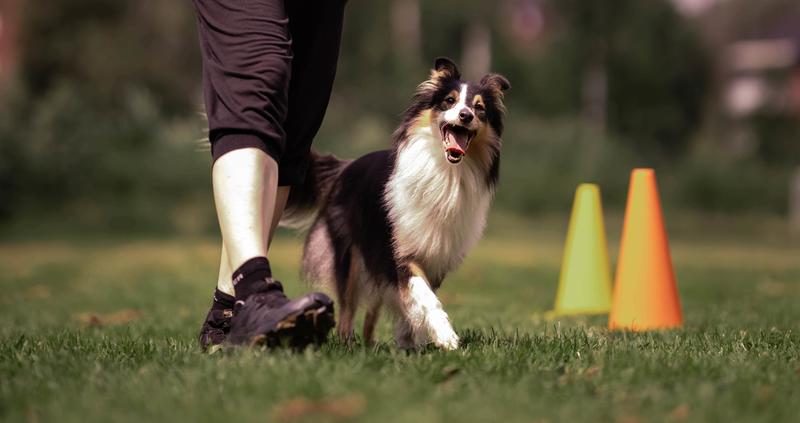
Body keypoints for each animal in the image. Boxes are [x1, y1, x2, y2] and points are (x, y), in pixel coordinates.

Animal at [284, 57, 510, 352]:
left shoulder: (436, 254)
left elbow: (415, 301)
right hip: (353, 255)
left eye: (479, 108)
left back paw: (372, 344)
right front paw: (446, 337)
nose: (465, 116)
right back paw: (347, 344)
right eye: (449, 101)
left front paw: (410, 342)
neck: (445, 172)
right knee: (348, 308)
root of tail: (346, 166)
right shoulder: (400, 252)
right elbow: (425, 297)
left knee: (373, 310)